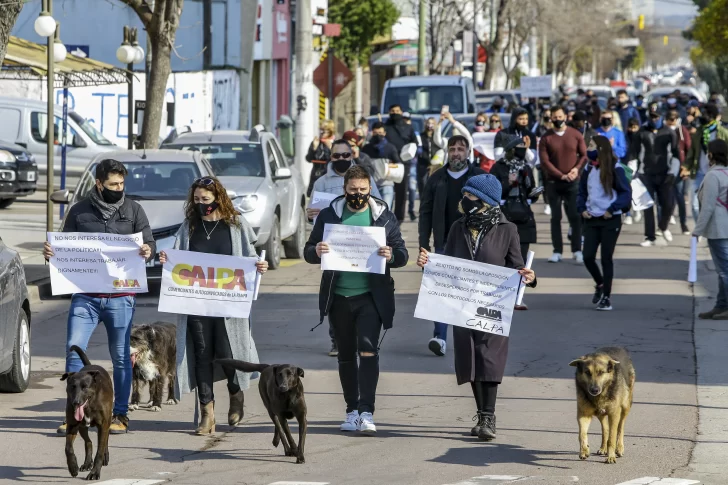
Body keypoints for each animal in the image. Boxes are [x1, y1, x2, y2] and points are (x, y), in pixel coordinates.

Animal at [61, 346, 114, 478]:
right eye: (72, 386)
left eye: (85, 387)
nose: (76, 402)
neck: (89, 406)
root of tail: (91, 365)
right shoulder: (72, 425)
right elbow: (68, 448)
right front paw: (73, 467)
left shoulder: (103, 425)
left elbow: (100, 450)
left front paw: (95, 472)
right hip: (82, 427)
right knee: (88, 442)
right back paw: (86, 463)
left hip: (107, 422)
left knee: (105, 441)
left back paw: (105, 457)